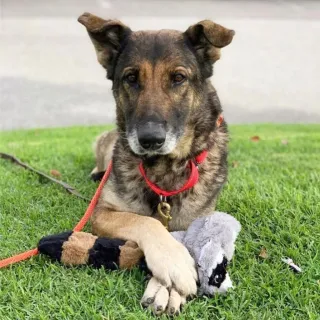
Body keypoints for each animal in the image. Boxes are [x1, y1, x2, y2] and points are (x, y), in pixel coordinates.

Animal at [77, 11, 232, 316]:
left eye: (179, 78)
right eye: (131, 78)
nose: (150, 140)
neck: (164, 167)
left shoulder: (195, 222)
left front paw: (166, 289)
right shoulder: (102, 213)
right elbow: (147, 222)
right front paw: (174, 263)